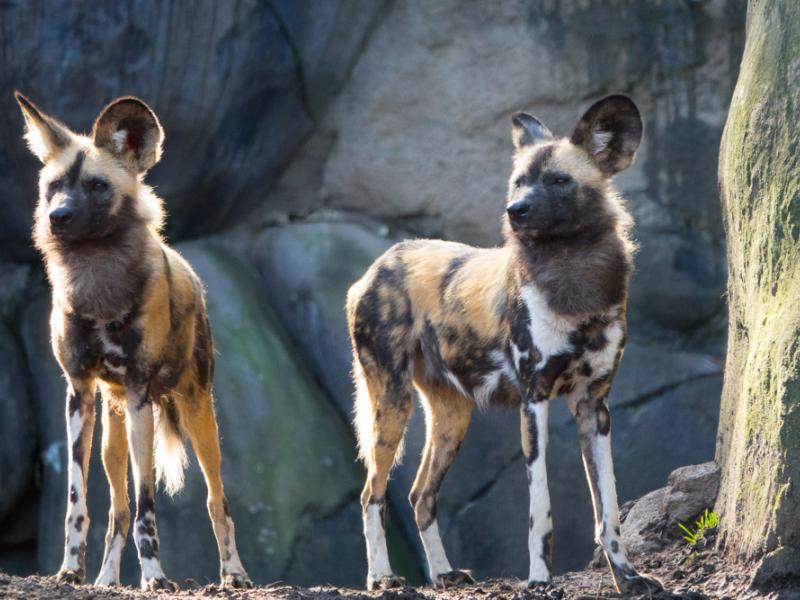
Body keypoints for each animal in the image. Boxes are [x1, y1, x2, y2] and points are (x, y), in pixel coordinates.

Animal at [16, 92, 253, 592]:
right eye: (53, 186)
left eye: (97, 186)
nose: (58, 217)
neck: (98, 286)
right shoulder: (79, 393)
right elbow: (79, 502)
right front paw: (70, 571)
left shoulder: (142, 392)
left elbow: (149, 507)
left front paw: (156, 577)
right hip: (113, 434)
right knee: (118, 513)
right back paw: (106, 579)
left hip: (197, 414)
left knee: (216, 502)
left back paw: (233, 574)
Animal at [348, 96, 664, 592]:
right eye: (518, 182)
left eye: (559, 180)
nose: (515, 210)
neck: (571, 279)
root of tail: (379, 264)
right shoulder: (534, 401)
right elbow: (541, 512)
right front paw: (539, 581)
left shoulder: (594, 407)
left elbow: (607, 509)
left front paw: (628, 577)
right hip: (392, 405)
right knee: (372, 495)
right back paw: (382, 578)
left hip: (452, 417)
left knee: (420, 495)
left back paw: (442, 574)